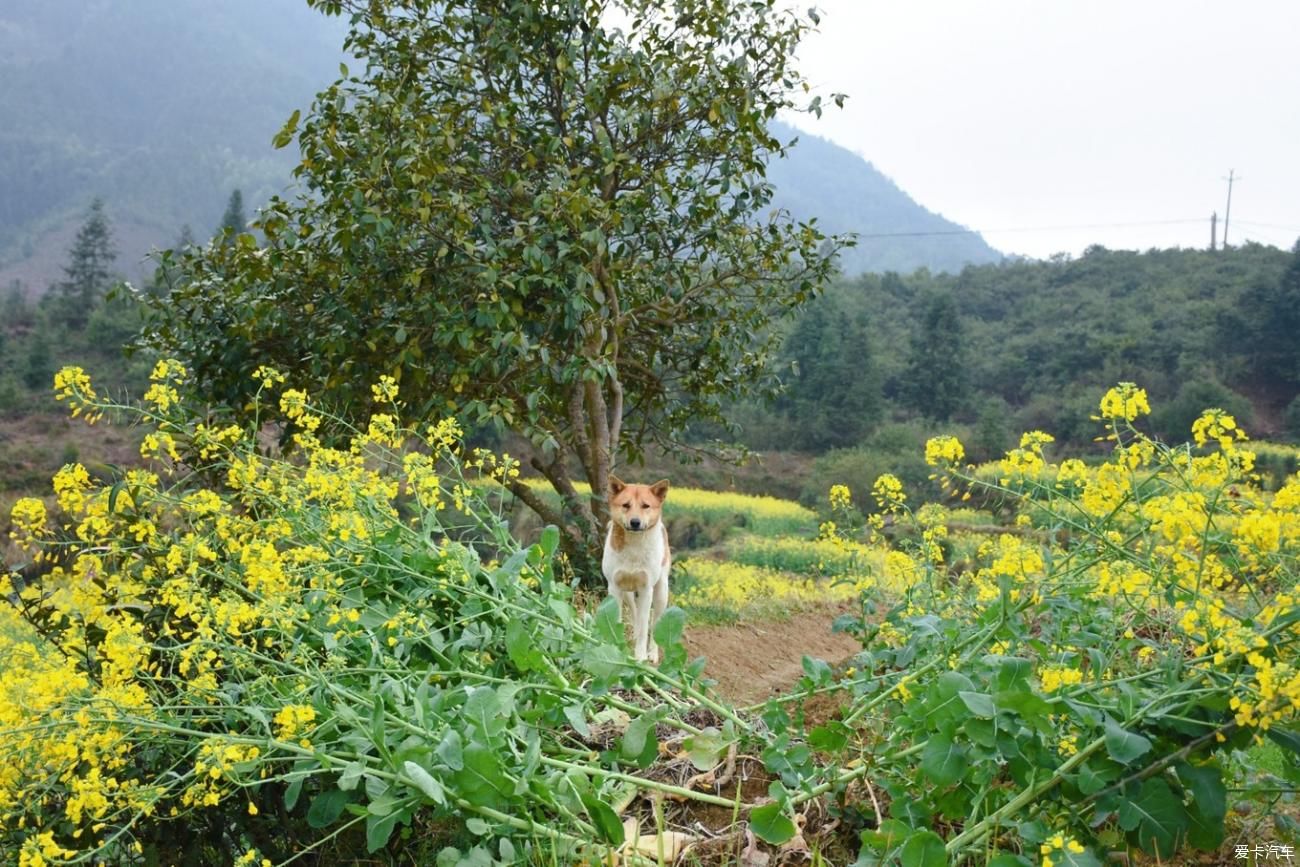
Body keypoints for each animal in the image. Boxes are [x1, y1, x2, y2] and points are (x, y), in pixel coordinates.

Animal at [603, 475, 676, 665]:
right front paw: (615, 646)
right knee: (635, 614)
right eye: (626, 505)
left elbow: (645, 627)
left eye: (645, 506)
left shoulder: (646, 589)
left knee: (654, 623)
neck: (634, 547)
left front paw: (640, 656)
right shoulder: (614, 587)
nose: (635, 522)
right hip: (627, 593)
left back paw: (652, 653)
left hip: (661, 592)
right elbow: (618, 619)